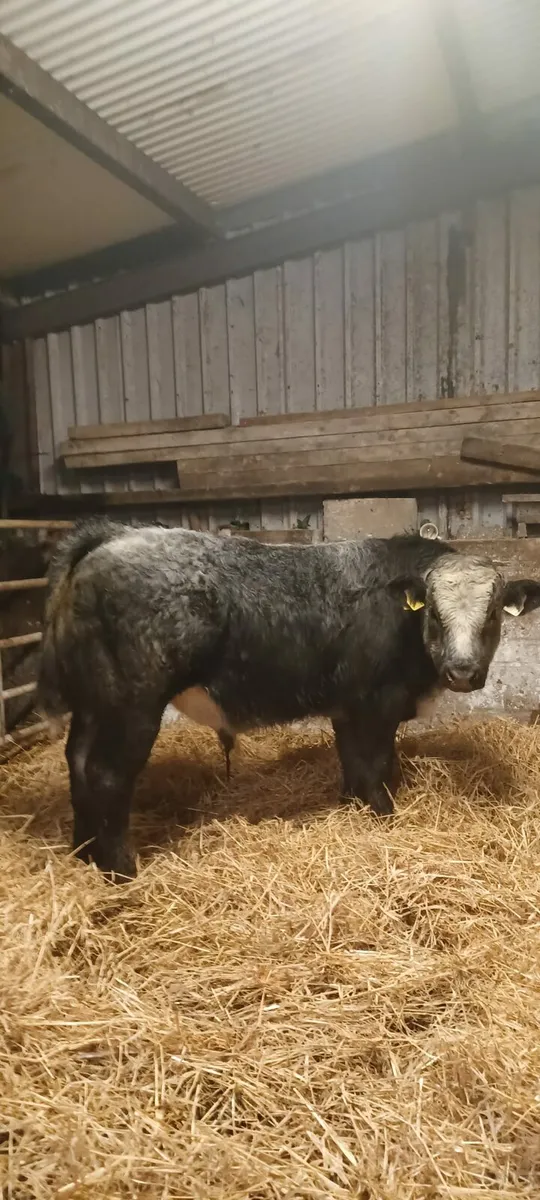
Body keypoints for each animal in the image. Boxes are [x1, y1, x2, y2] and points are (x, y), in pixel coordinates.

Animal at [38, 518, 540, 880]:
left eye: (493, 615)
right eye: (434, 613)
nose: (462, 671)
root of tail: (117, 535)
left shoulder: (347, 707)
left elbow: (355, 764)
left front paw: (355, 807)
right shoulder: (374, 705)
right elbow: (377, 765)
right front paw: (383, 817)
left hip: (93, 704)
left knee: (78, 762)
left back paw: (83, 854)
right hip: (132, 706)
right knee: (106, 775)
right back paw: (120, 870)